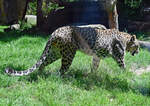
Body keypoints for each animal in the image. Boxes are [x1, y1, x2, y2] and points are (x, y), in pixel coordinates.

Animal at [4, 25, 139, 76]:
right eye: (137, 46)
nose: (138, 52)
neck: (125, 39)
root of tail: (54, 32)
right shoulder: (119, 57)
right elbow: (123, 66)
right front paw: (127, 75)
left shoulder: (97, 56)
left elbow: (95, 65)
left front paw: (92, 75)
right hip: (68, 53)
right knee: (61, 70)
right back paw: (66, 78)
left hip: (55, 52)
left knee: (43, 63)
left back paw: (40, 74)